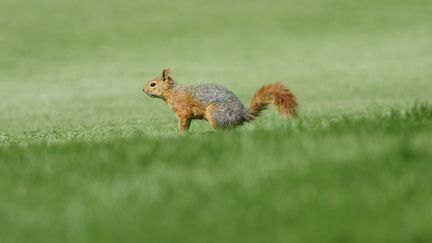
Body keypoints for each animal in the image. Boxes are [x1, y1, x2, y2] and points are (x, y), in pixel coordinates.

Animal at [142, 68, 296, 132]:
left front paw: (180, 134)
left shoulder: (183, 111)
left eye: (152, 84)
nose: (143, 90)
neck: (173, 92)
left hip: (215, 112)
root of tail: (241, 115)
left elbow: (184, 122)